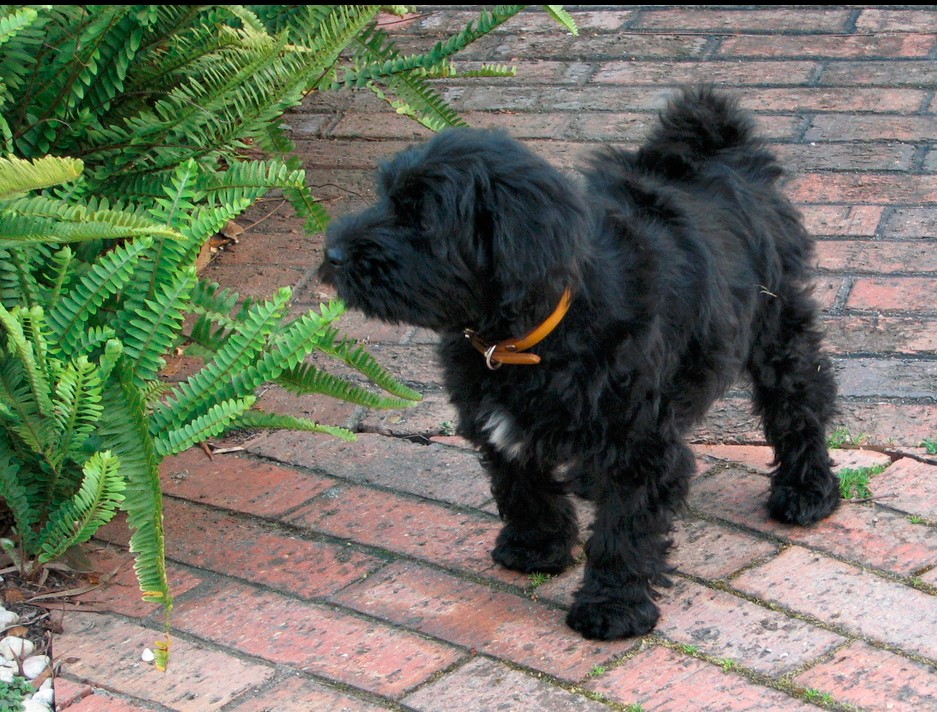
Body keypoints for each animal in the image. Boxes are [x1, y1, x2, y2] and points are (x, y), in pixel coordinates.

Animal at [324, 87, 840, 640]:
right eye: (384, 198)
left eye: (421, 219)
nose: (332, 254)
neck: (535, 332)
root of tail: (719, 153)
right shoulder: (496, 417)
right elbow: (521, 484)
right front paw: (536, 547)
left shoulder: (640, 441)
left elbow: (624, 529)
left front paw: (612, 607)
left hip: (777, 327)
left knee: (799, 404)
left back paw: (807, 491)